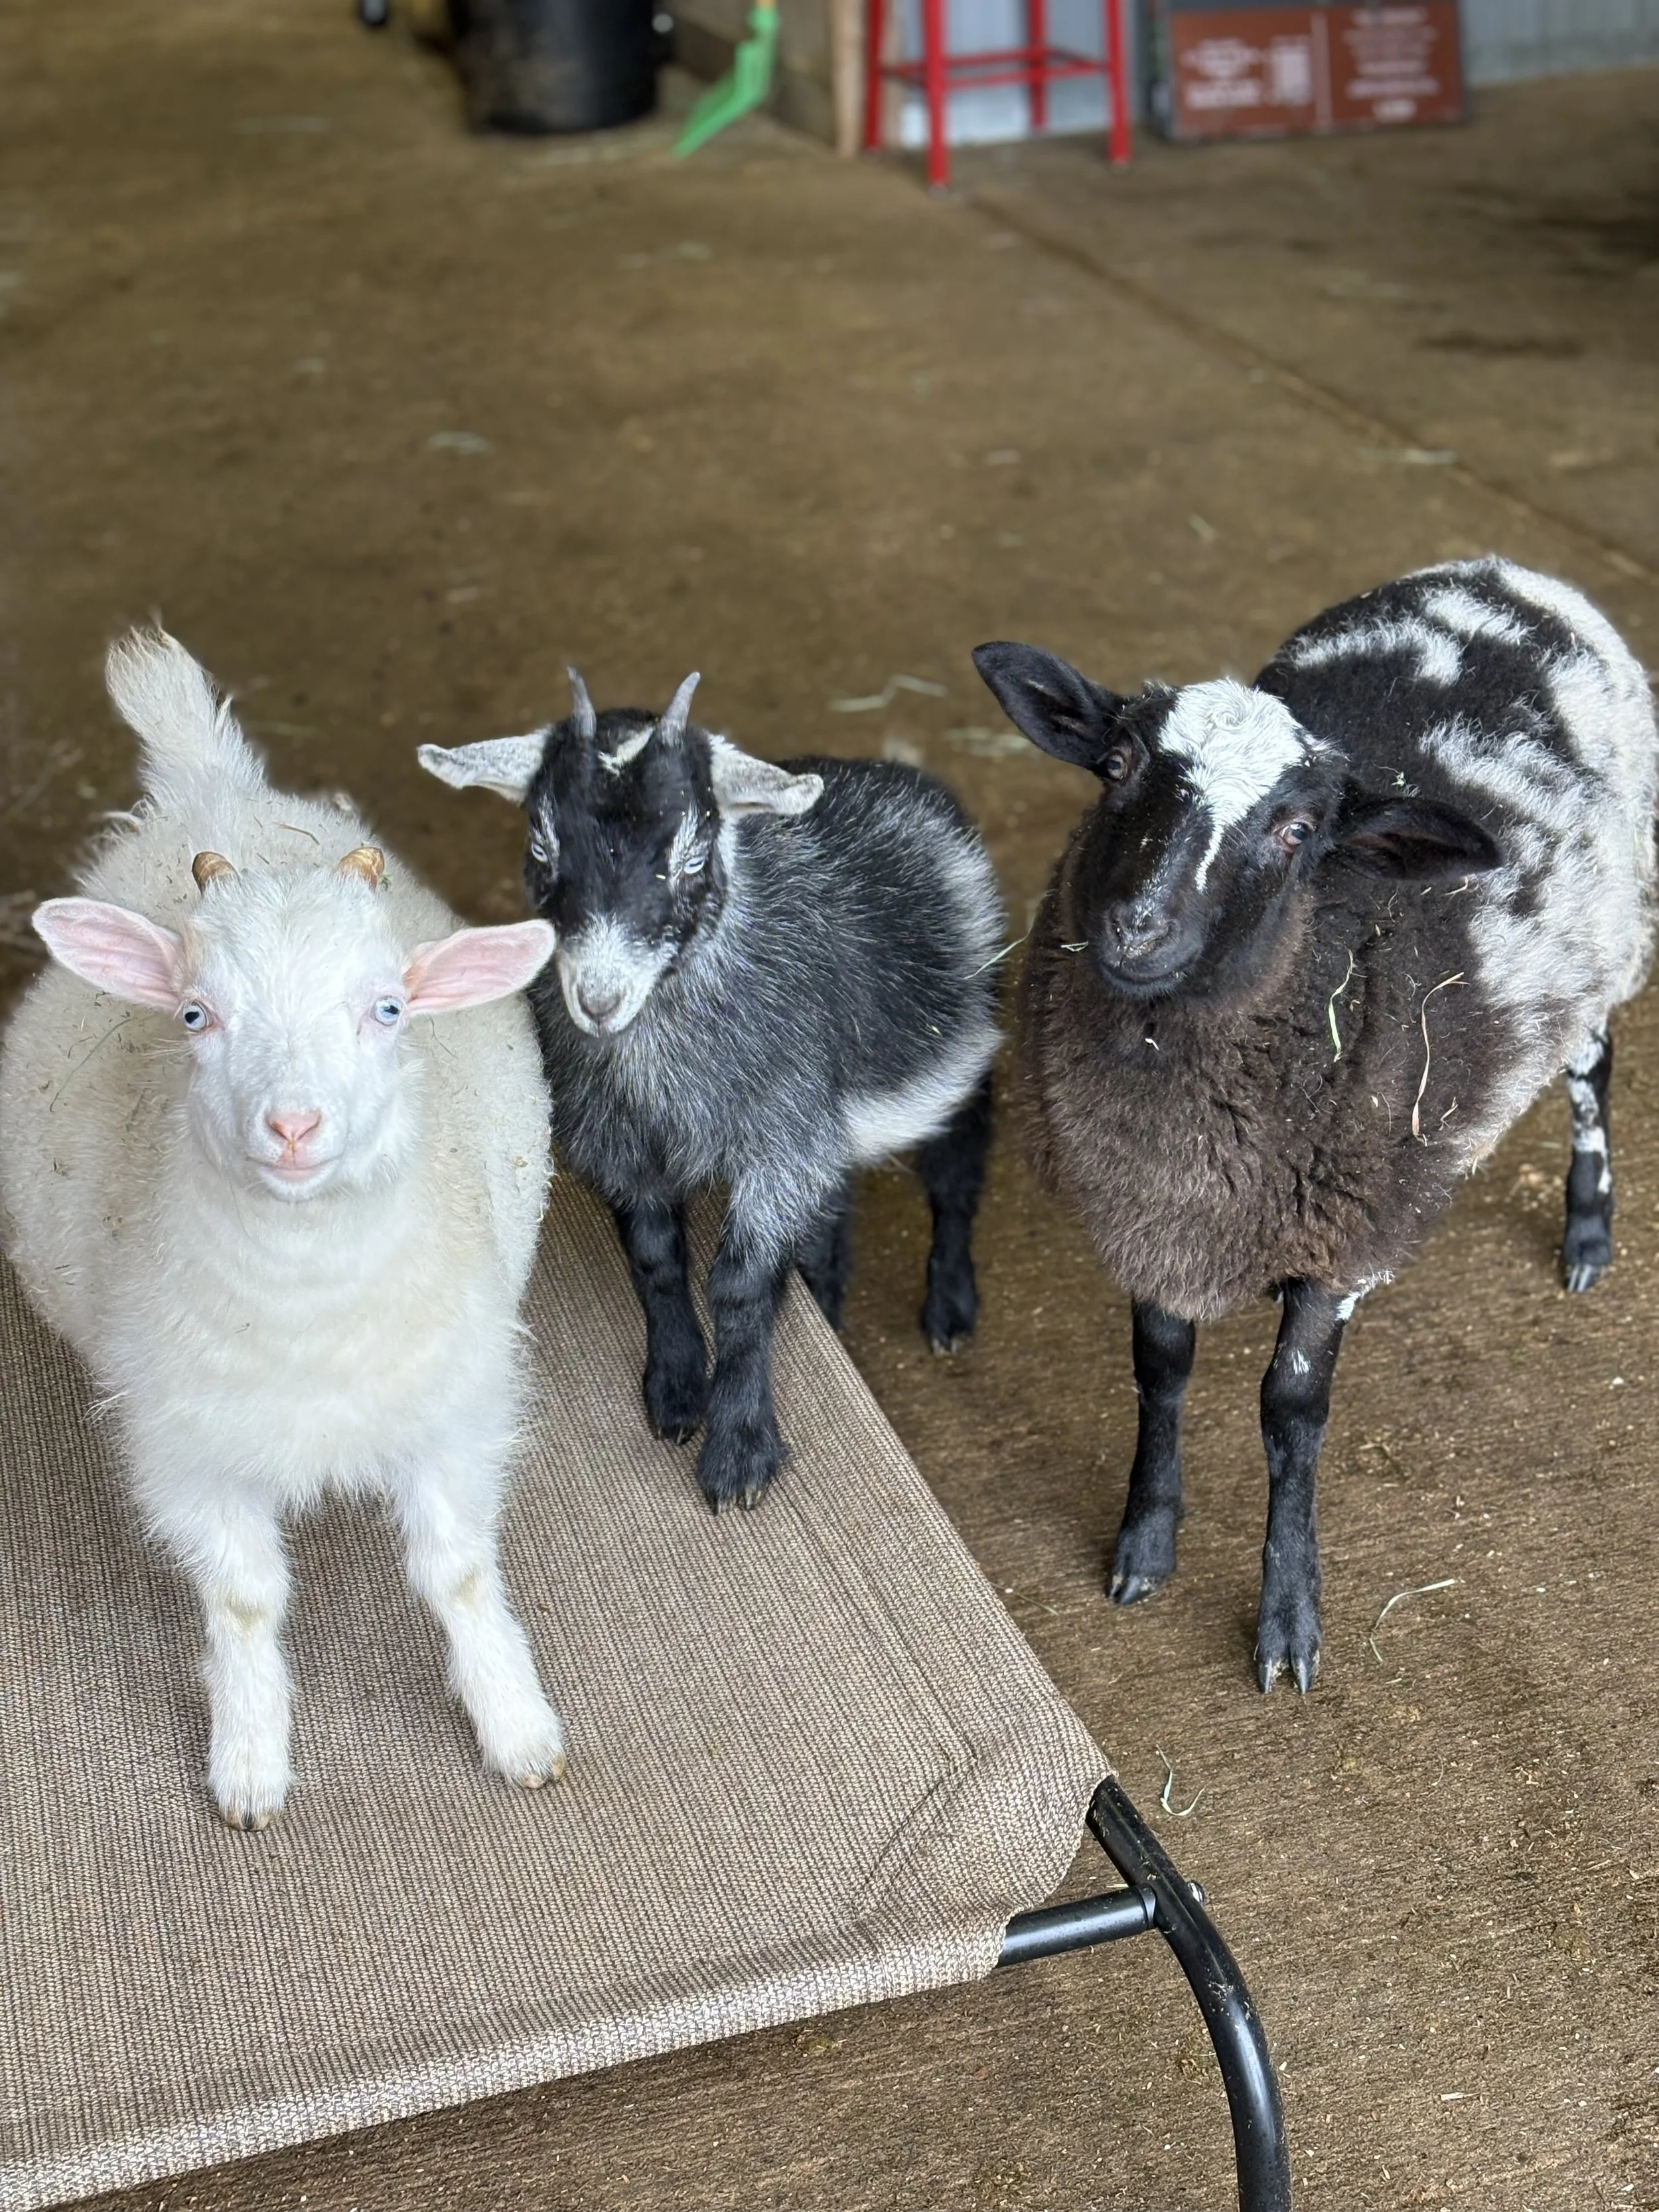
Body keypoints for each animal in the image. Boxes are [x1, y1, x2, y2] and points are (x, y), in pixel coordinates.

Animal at [0, 628, 566, 1829]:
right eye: (195, 1014)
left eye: (388, 1009)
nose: (294, 1125)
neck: (309, 1314)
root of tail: (212, 791)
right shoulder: (189, 1453)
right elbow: (246, 1600)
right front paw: (252, 1759)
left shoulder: (454, 1412)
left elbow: (458, 1572)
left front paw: (516, 1723)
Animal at [417, 669, 1004, 1511]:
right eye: (541, 842)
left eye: (694, 852)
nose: (598, 999)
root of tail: (896, 774)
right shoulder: (630, 1148)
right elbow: (656, 1259)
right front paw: (674, 1388)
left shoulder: (779, 1147)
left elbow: (739, 1285)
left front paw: (739, 1449)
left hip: (957, 1058)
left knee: (958, 1170)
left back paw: (950, 1305)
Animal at [974, 556, 1657, 1694]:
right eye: (1116, 764)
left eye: (1296, 832)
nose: (1136, 930)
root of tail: (1514, 573)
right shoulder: (1154, 1217)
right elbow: (1161, 1368)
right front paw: (1145, 1541)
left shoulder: (1343, 1235)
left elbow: (1290, 1412)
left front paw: (1288, 1619)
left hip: (1606, 948)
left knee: (1593, 1067)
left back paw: (1588, 1232)